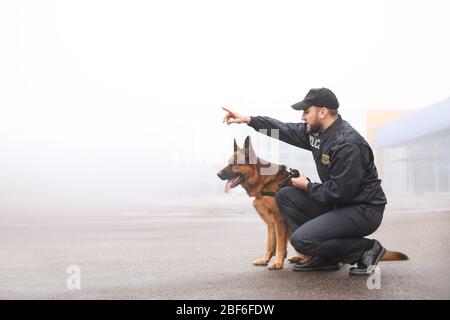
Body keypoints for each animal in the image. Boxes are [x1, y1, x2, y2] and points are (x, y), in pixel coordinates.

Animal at [217, 136, 408, 272]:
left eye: (233, 164)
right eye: (228, 162)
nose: (218, 174)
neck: (264, 181)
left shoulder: (279, 221)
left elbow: (279, 245)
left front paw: (277, 263)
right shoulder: (270, 224)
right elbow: (271, 244)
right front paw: (265, 260)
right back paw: (301, 258)